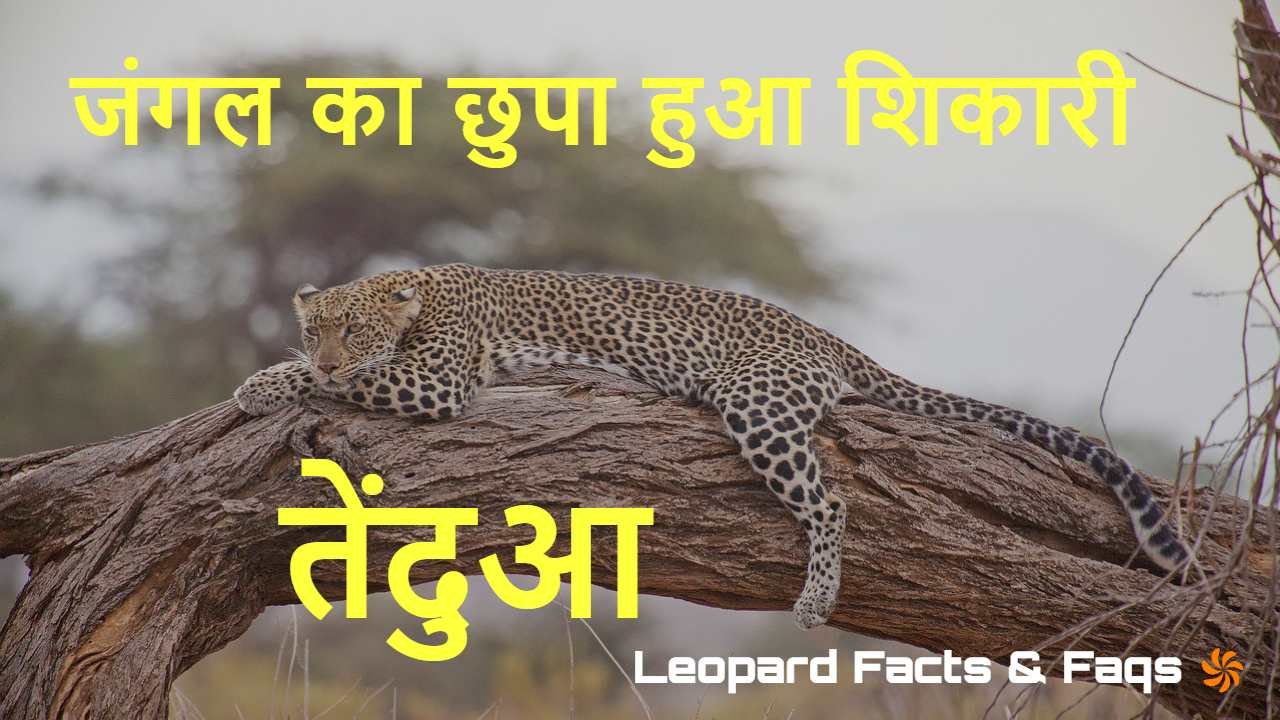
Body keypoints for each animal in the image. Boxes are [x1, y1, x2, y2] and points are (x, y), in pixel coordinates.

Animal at [234, 263, 1192, 629]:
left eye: (354, 332)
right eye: (320, 326)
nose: (326, 349)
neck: (418, 292)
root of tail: (826, 338)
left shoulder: (435, 380)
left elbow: (339, 386)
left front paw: (269, 385)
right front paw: (264, 377)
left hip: (756, 403)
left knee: (830, 498)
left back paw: (814, 600)